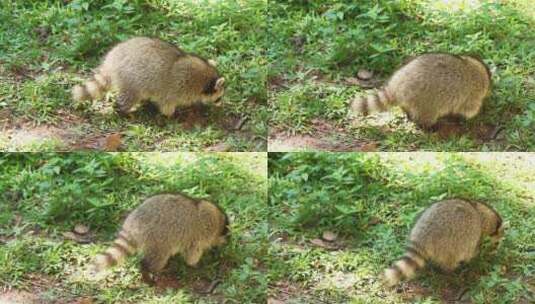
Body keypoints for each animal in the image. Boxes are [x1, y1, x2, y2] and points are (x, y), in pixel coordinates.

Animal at [72, 36, 225, 116]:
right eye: (219, 97)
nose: (220, 105)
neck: (205, 79)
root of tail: (112, 60)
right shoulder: (178, 88)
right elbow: (167, 105)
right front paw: (172, 114)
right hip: (130, 79)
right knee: (128, 98)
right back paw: (123, 110)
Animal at [88, 194, 230, 282]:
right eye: (226, 236)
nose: (228, 242)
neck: (217, 220)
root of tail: (132, 226)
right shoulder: (198, 236)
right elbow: (192, 255)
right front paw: (198, 264)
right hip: (158, 239)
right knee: (156, 259)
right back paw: (147, 270)